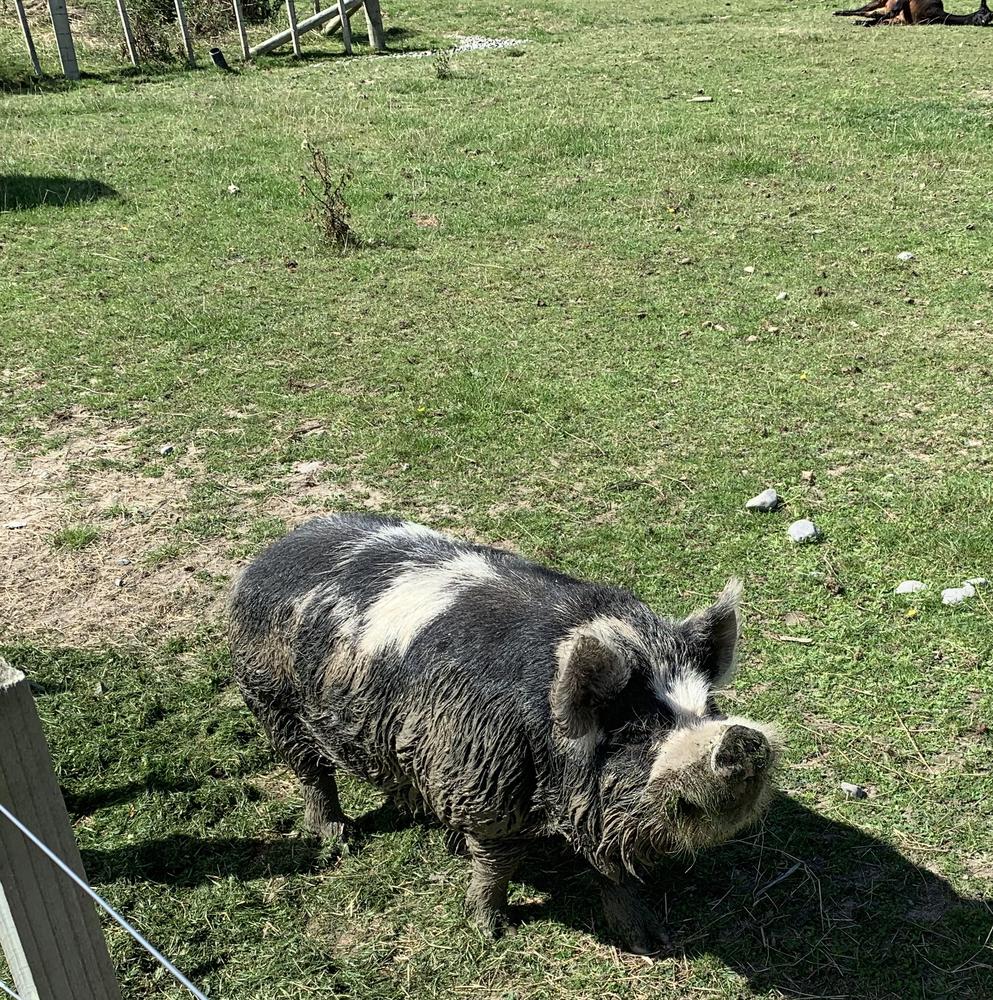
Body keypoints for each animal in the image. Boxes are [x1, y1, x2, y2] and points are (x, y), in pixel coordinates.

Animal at [231, 516, 784, 952]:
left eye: (709, 706)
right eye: (636, 729)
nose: (742, 739)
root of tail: (270, 552)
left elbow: (614, 871)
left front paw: (652, 944)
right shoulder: (484, 783)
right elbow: (497, 863)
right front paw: (489, 930)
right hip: (269, 698)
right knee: (311, 772)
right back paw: (340, 840)